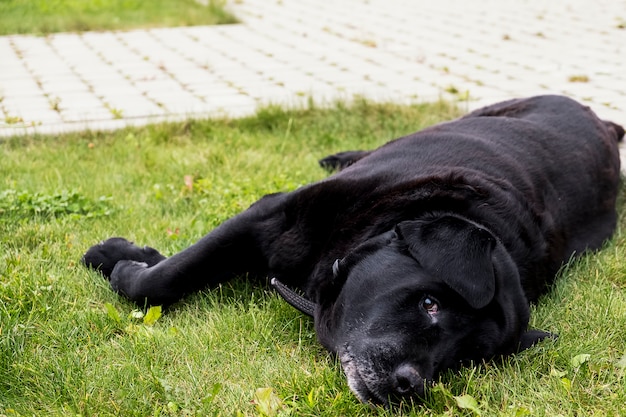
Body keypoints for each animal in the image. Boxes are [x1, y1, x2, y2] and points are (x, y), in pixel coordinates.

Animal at [81, 96, 620, 404]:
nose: (409, 387)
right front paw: (117, 257)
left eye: (467, 359)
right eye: (431, 304)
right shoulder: (272, 212)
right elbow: (166, 277)